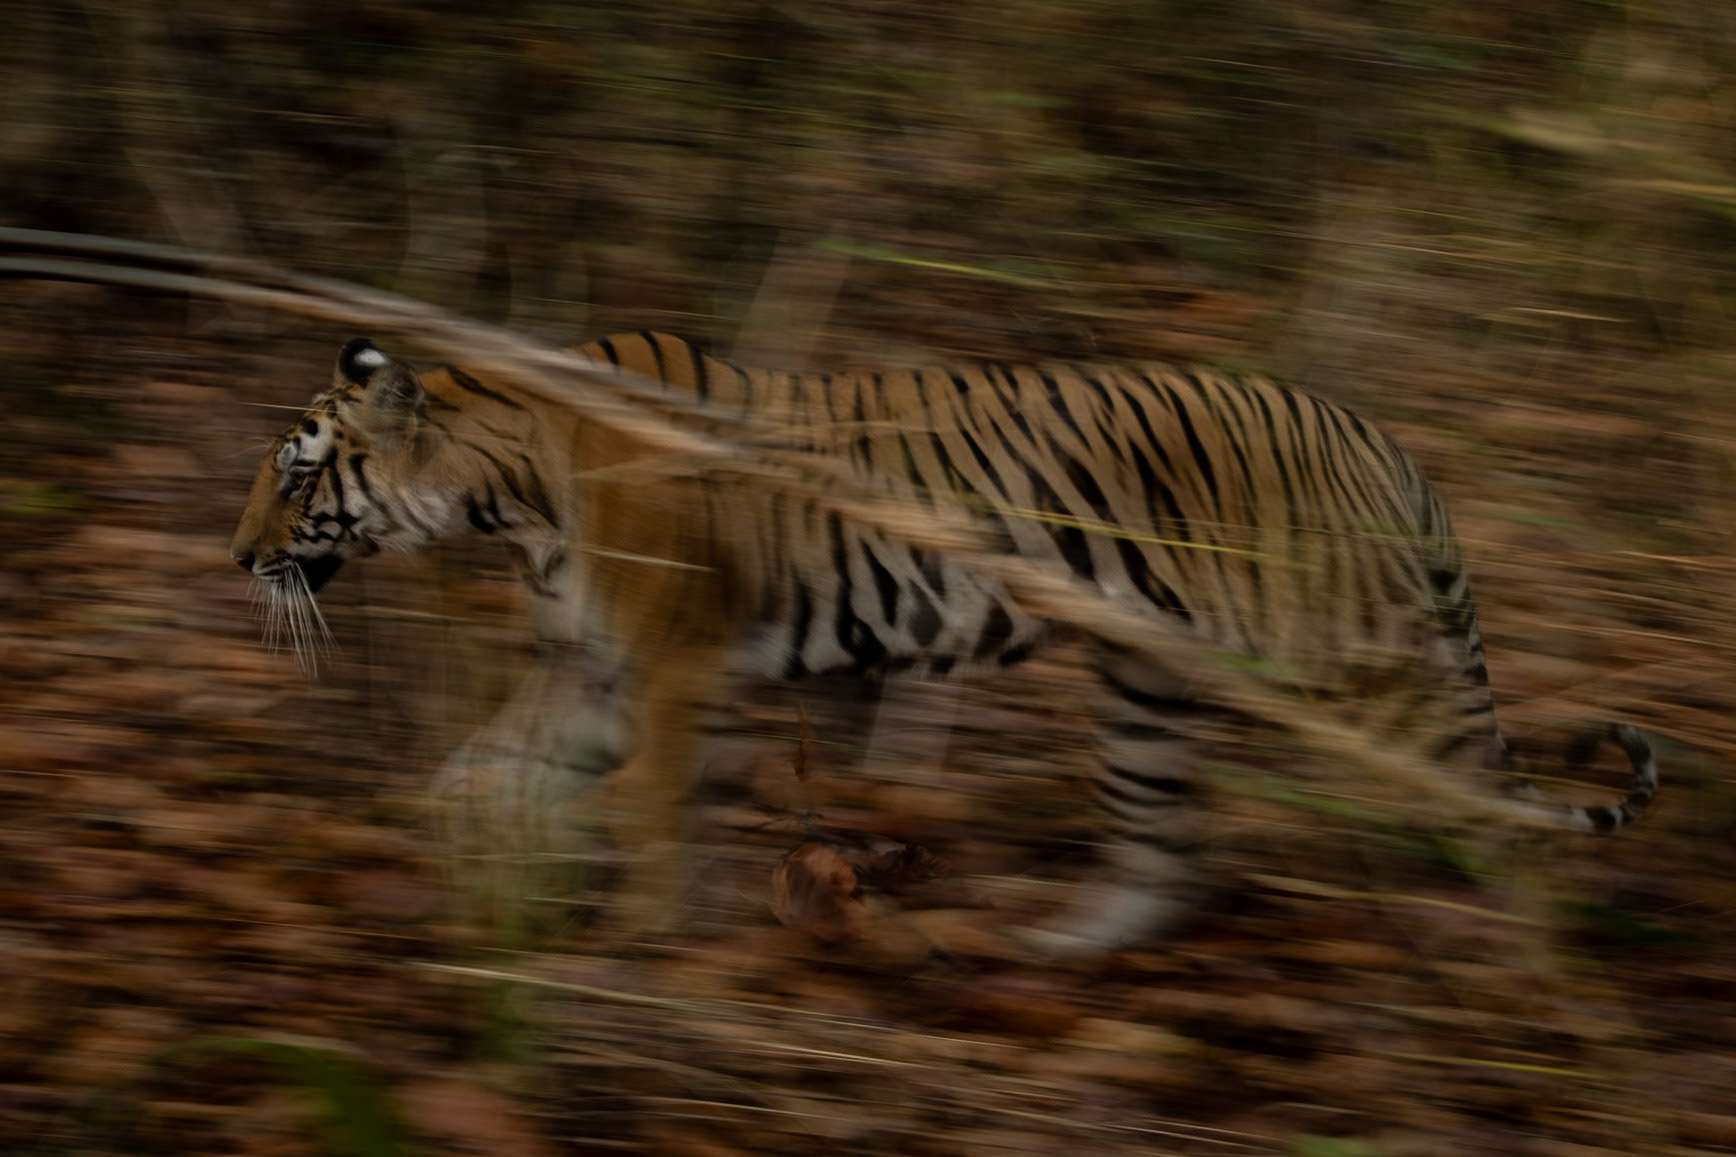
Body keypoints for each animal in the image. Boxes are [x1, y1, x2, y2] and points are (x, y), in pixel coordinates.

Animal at [230, 331, 1658, 953]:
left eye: (297, 475)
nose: (236, 556)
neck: (504, 496)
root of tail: (1388, 444)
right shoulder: (592, 672)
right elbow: (477, 776)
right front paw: (472, 875)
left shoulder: (674, 672)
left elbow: (649, 816)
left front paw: (639, 946)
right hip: (1145, 680)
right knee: (1165, 850)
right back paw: (1049, 952)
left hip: (1361, 672)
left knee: (1494, 816)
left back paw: (1524, 978)